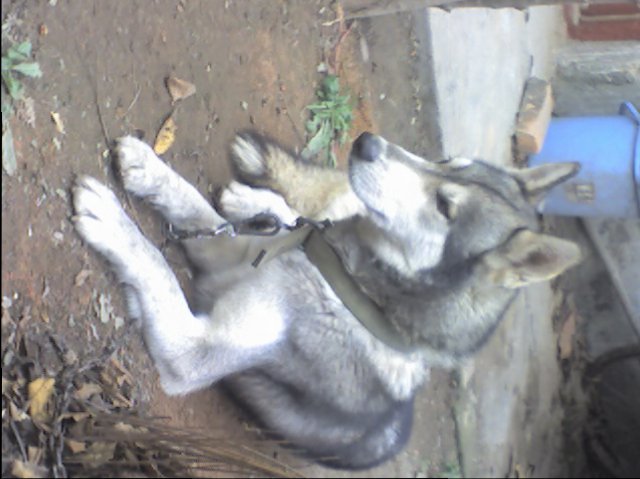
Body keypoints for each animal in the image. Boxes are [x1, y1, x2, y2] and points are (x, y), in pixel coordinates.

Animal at [72, 131, 581, 469]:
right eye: (446, 159)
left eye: (445, 207)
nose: (368, 142)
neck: (346, 287)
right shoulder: (224, 253)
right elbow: (195, 206)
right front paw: (150, 170)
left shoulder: (191, 351)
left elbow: (156, 262)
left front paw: (112, 221)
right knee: (297, 211)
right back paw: (254, 199)